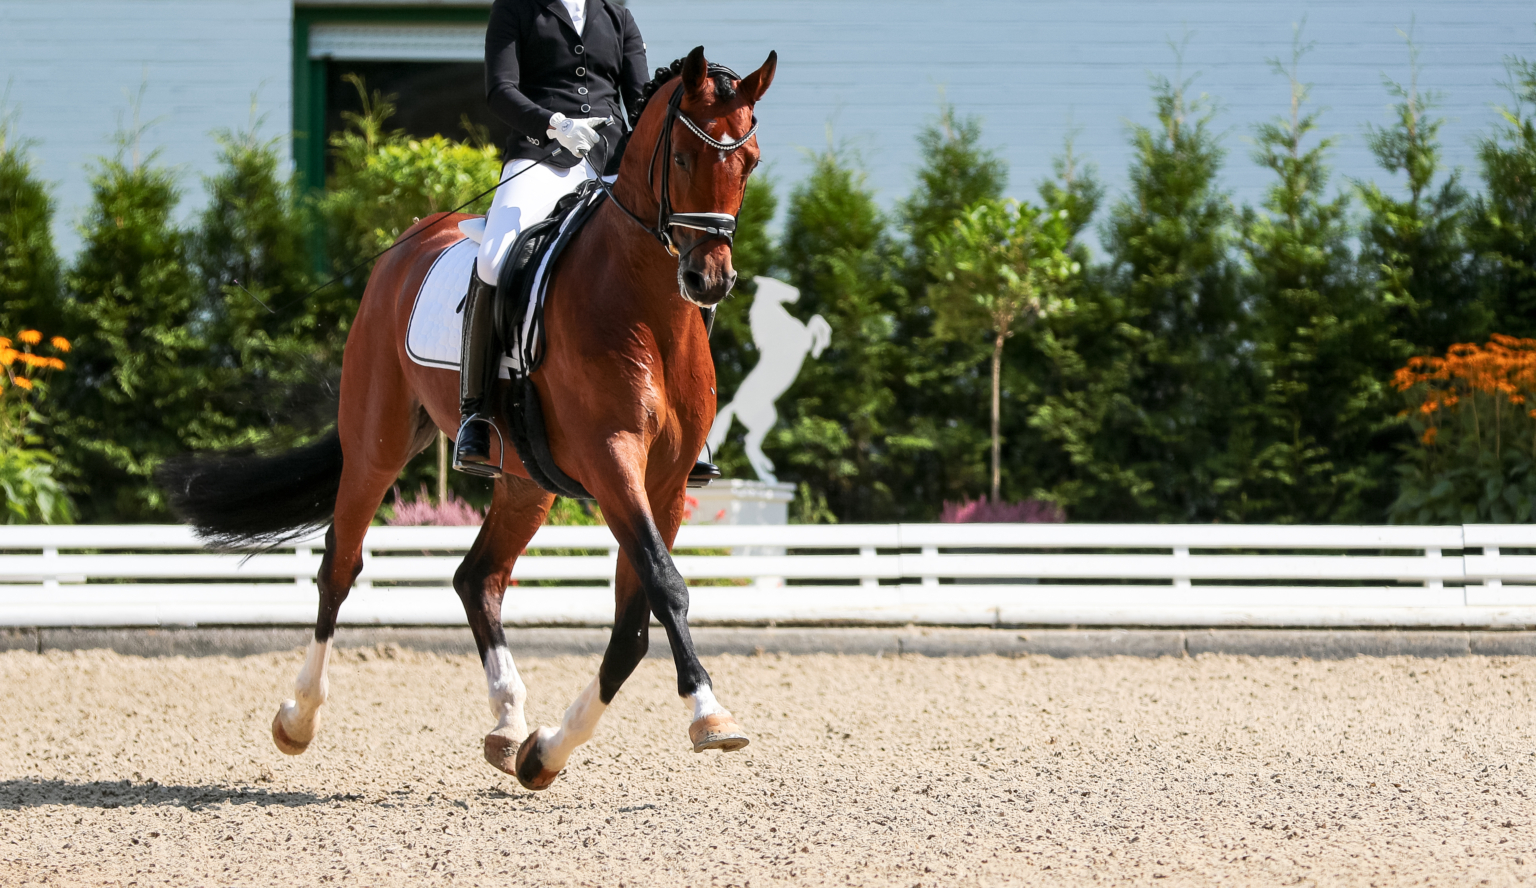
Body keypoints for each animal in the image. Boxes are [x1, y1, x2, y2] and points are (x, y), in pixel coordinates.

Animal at [162, 46, 774, 786]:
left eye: (750, 162)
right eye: (681, 156)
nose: (709, 280)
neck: (646, 309)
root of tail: (408, 242)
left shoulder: (667, 480)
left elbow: (635, 619)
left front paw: (546, 751)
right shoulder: (612, 458)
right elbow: (665, 587)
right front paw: (709, 713)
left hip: (526, 480)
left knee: (476, 577)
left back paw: (509, 725)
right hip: (376, 444)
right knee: (341, 564)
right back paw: (298, 718)